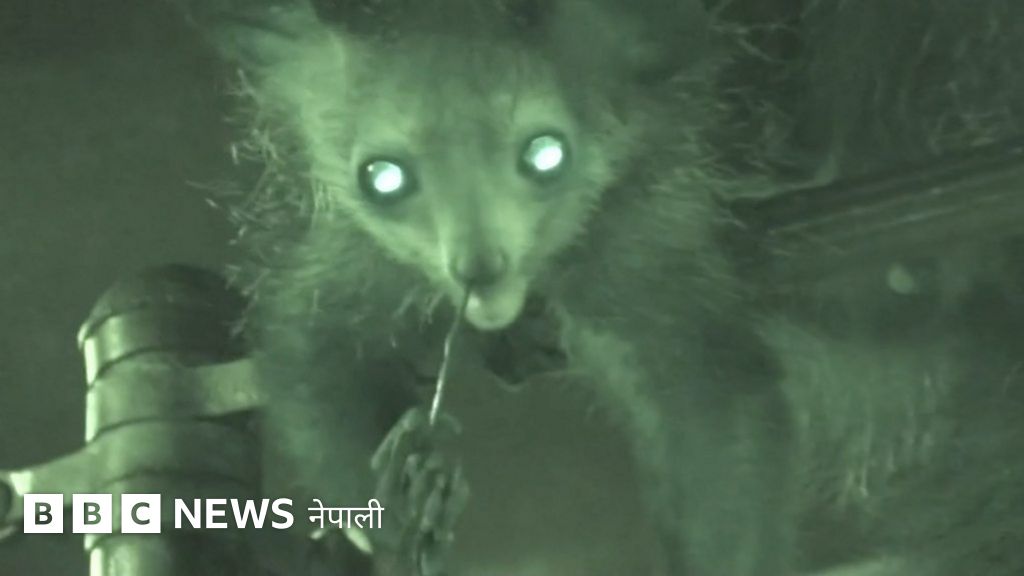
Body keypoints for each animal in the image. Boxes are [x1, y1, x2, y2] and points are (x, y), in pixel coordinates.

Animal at [169, 0, 1024, 574]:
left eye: (545, 154)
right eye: (385, 178)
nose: (479, 273)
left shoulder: (659, 210)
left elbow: (715, 404)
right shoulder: (354, 247)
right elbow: (308, 344)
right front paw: (399, 506)